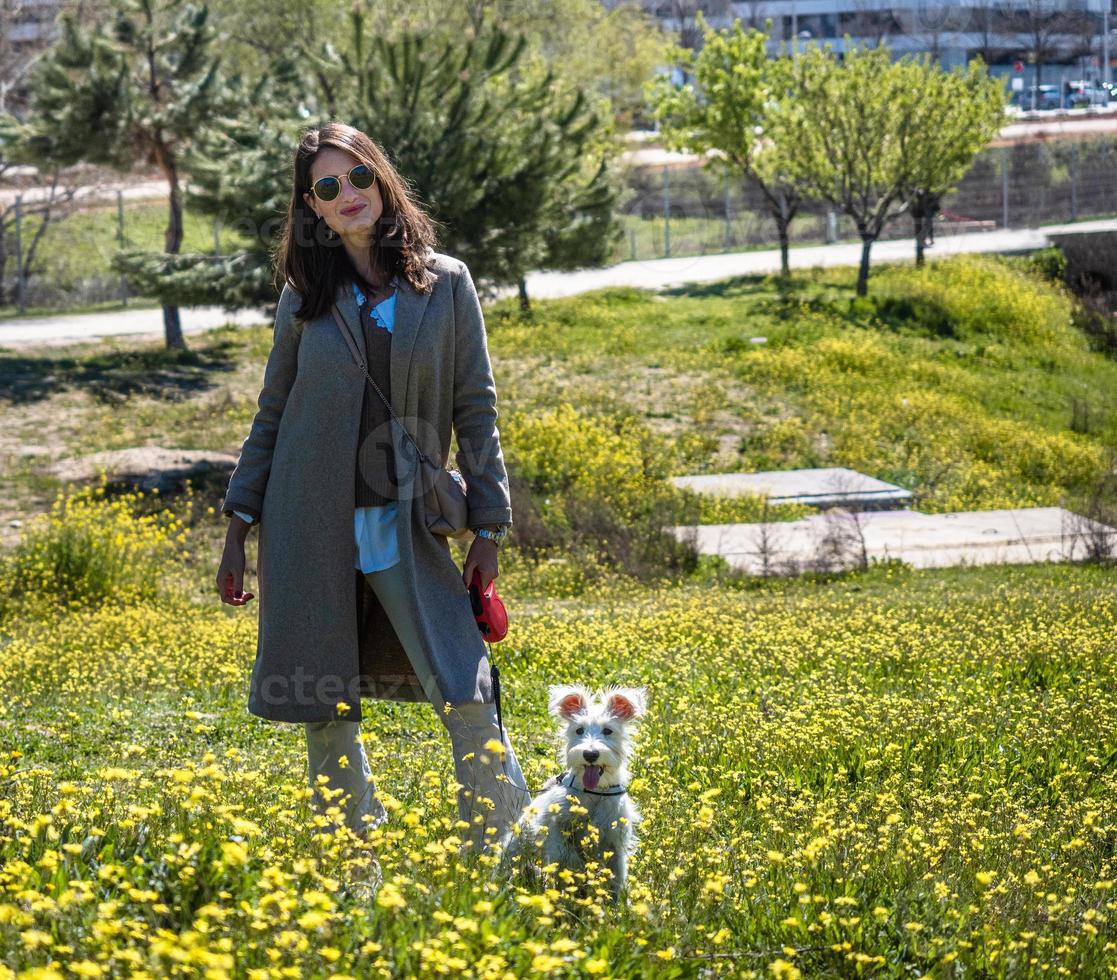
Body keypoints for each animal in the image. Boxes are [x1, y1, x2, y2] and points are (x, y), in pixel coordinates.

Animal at [498, 679, 647, 902]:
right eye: (579, 730)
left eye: (608, 731)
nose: (590, 754)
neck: (593, 793)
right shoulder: (554, 829)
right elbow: (565, 853)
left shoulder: (615, 841)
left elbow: (617, 877)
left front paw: (619, 906)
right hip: (514, 848)